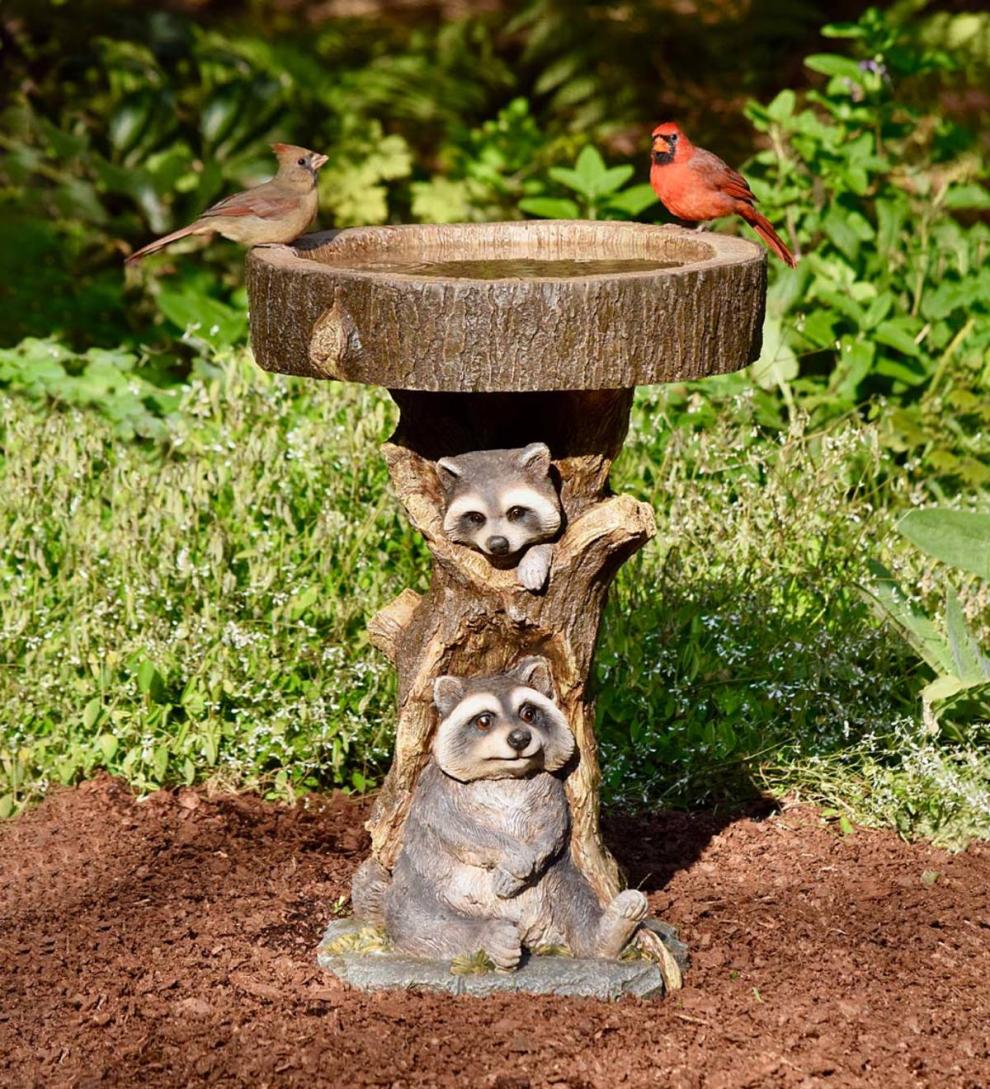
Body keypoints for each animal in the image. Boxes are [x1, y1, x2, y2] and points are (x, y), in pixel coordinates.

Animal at [355, 657, 647, 969]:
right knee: (421, 923)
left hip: (558, 880)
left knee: (575, 898)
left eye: (529, 713)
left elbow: (554, 824)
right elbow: (456, 828)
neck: (505, 774)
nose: (520, 738)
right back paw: (491, 937)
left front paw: (530, 856)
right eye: (484, 720)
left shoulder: (549, 785)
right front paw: (513, 857)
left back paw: (609, 931)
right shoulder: (436, 788)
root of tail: (530, 932)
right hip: (416, 891)